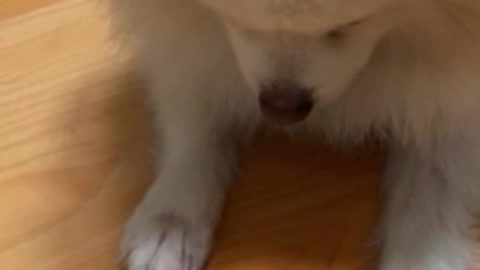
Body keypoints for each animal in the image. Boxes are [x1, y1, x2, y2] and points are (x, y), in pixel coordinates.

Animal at [111, 0, 480, 268]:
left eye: (350, 26)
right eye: (235, 20)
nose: (281, 109)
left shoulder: (449, 97)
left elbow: (433, 192)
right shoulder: (193, 55)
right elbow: (196, 125)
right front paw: (170, 220)